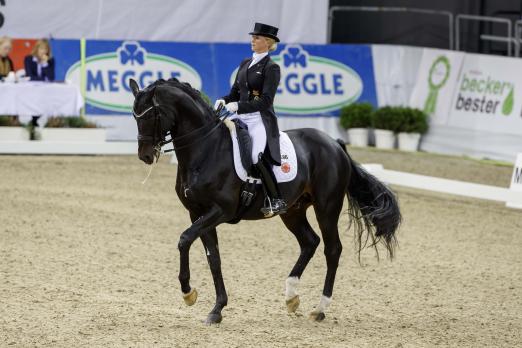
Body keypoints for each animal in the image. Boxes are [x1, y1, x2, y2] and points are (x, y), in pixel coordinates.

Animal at [129, 78, 398, 324]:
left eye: (151, 114)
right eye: (134, 115)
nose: (145, 155)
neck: (206, 150)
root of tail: (335, 144)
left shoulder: (220, 211)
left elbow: (184, 239)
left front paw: (188, 293)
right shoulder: (197, 213)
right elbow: (213, 257)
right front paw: (216, 309)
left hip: (327, 207)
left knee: (332, 249)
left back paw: (320, 309)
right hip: (292, 211)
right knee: (309, 242)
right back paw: (291, 297)